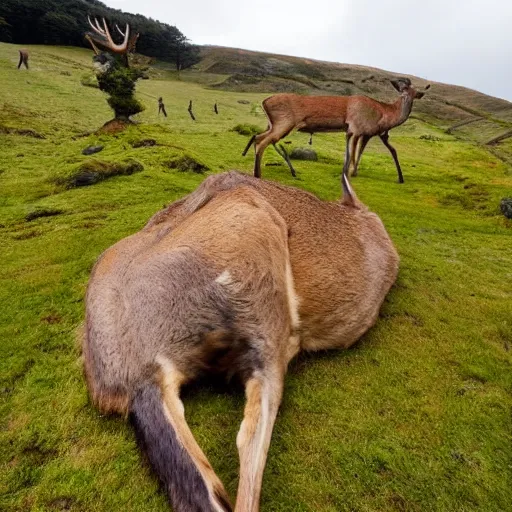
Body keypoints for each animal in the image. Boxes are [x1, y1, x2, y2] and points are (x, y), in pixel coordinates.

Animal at [243, 79, 428, 183]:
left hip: (274, 125)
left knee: (259, 138)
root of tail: (264, 102)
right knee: (263, 142)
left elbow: (359, 152)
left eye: (414, 93)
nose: (407, 100)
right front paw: (351, 173)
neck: (384, 114)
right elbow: (353, 152)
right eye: (402, 92)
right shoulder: (357, 128)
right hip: (284, 122)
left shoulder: (367, 133)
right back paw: (259, 173)